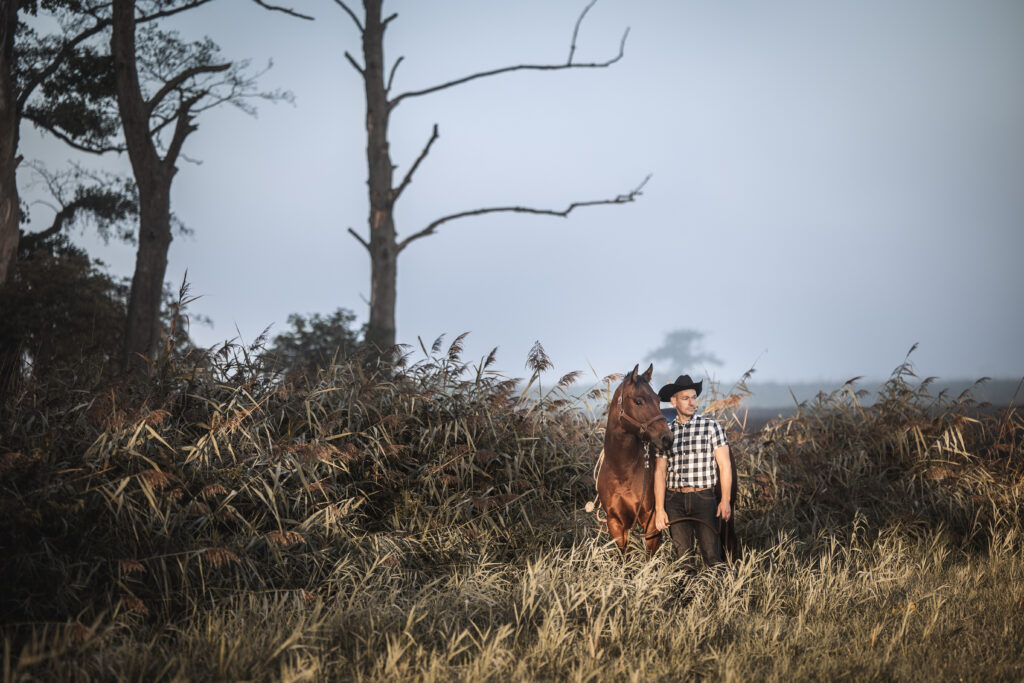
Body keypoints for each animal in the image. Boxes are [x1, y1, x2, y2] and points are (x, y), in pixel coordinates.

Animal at [598, 362, 675, 557]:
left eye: (657, 400)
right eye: (638, 401)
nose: (667, 439)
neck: (622, 471)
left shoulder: (652, 521)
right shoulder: (616, 524)